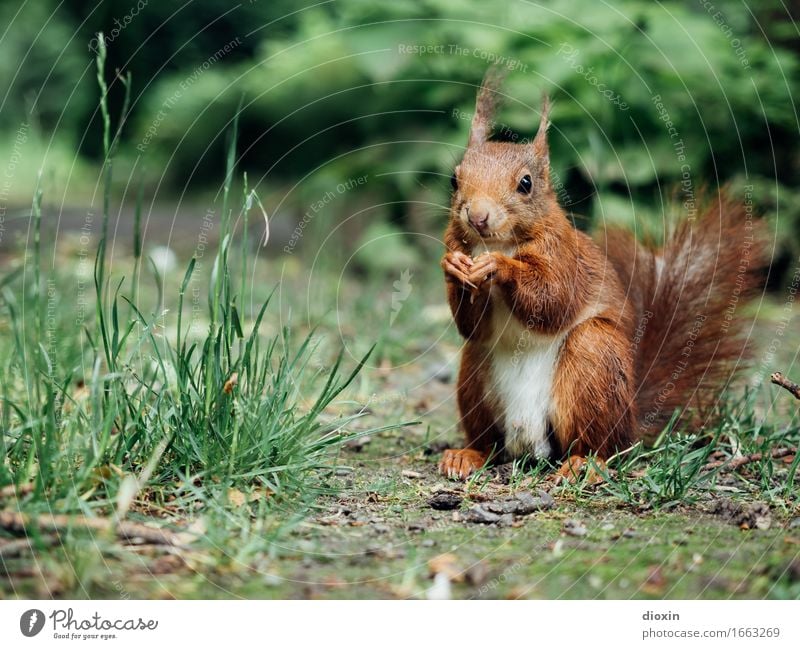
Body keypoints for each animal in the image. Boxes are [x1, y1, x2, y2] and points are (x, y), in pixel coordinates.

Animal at [440, 68, 764, 478]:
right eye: (454, 180)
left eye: (525, 183)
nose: (478, 217)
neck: (498, 242)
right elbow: (472, 326)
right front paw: (453, 268)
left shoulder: (565, 257)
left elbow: (551, 301)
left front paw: (501, 266)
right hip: (476, 374)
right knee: (489, 439)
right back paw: (466, 455)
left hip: (593, 360)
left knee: (602, 446)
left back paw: (584, 464)